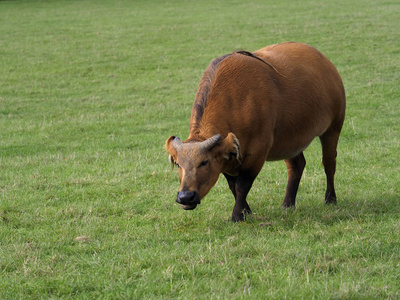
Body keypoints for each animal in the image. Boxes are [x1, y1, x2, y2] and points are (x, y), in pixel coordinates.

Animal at [164, 41, 346, 220]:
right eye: (178, 164)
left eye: (204, 162)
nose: (185, 197)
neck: (235, 102)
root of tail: (326, 63)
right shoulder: (227, 159)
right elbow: (233, 186)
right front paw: (246, 211)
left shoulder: (257, 154)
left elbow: (241, 186)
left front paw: (237, 215)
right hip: (290, 140)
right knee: (297, 165)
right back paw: (288, 204)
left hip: (333, 127)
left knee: (329, 162)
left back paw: (330, 198)